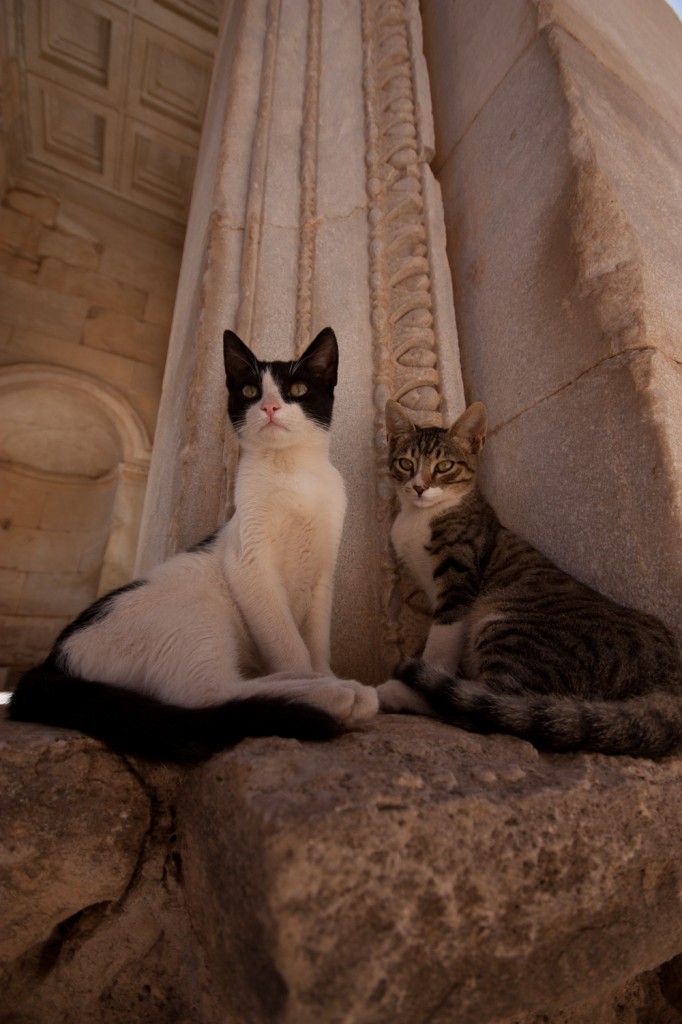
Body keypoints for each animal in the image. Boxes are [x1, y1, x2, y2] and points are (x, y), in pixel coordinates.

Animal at [9, 327, 376, 761]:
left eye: (297, 389)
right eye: (251, 391)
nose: (269, 407)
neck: (292, 475)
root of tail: (54, 658)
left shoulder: (322, 577)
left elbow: (315, 642)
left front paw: (323, 671)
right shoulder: (249, 563)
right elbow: (288, 644)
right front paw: (317, 677)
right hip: (196, 609)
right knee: (206, 694)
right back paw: (335, 694)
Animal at [376, 399, 679, 761]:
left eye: (445, 466)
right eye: (406, 463)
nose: (420, 487)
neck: (420, 517)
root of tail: (669, 673)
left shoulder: (458, 580)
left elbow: (441, 642)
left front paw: (424, 668)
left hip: (511, 625)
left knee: (492, 706)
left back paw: (398, 692)